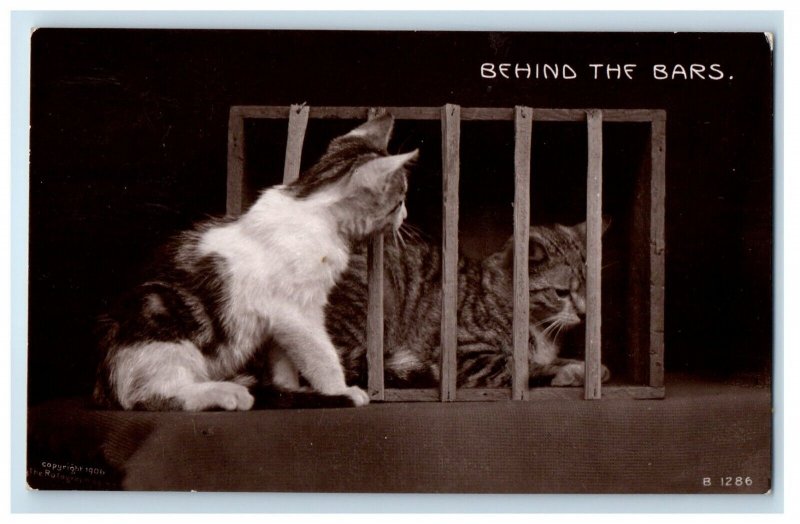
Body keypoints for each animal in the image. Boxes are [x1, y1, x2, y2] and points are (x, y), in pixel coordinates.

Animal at [328, 221, 608, 388]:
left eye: (589, 289)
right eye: (561, 293)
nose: (585, 313)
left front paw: (590, 367)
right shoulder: (463, 355)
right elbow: (522, 366)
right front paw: (573, 372)